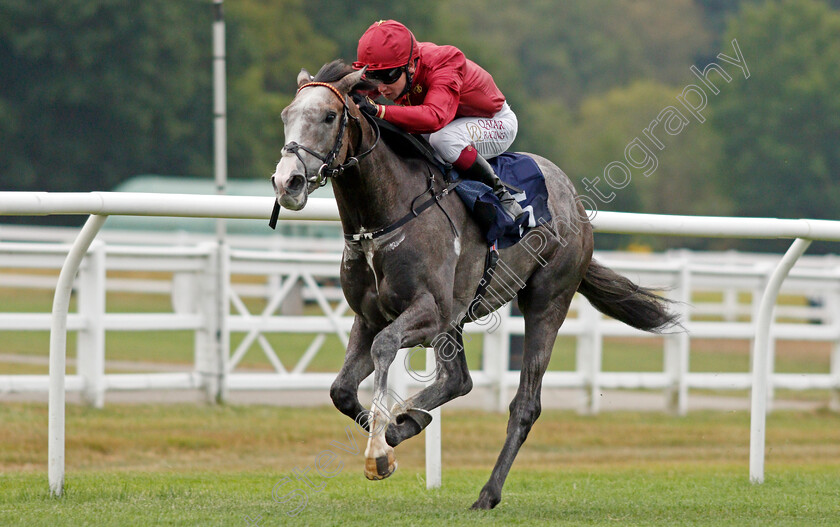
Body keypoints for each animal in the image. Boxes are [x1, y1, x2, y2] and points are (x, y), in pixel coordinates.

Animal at [270, 62, 676, 512]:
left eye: (328, 116)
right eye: (287, 115)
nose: (287, 182)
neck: (384, 214)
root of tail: (574, 202)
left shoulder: (429, 311)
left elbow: (385, 347)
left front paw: (379, 450)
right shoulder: (370, 315)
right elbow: (341, 389)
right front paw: (392, 436)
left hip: (545, 302)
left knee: (524, 404)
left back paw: (487, 492)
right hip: (458, 318)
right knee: (458, 380)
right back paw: (411, 420)